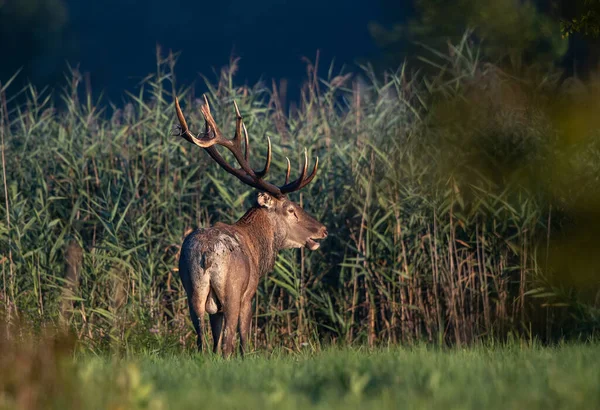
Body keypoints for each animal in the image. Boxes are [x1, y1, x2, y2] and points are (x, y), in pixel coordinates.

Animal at [173, 95, 328, 356]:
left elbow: (214, 344)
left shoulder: (212, 306)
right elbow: (244, 339)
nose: (323, 230)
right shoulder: (249, 294)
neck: (258, 248)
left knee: (202, 340)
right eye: (291, 210)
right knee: (228, 342)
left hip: (191, 289)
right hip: (232, 292)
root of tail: (206, 255)